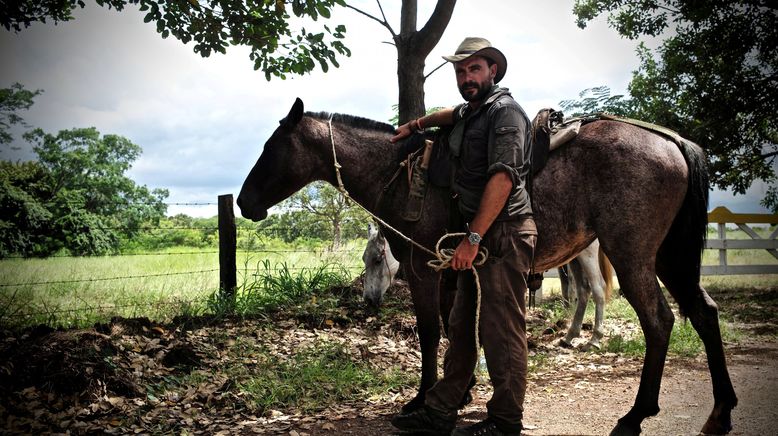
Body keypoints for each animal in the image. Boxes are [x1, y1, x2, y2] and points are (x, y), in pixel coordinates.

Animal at [236, 97, 732, 434]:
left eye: (272, 147)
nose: (243, 203)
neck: (405, 174)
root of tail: (672, 141)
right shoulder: (455, 270)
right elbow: (457, 330)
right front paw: (459, 394)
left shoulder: (425, 269)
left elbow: (431, 332)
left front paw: (421, 399)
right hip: (668, 258)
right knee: (704, 313)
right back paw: (721, 411)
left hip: (632, 256)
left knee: (659, 321)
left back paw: (635, 414)